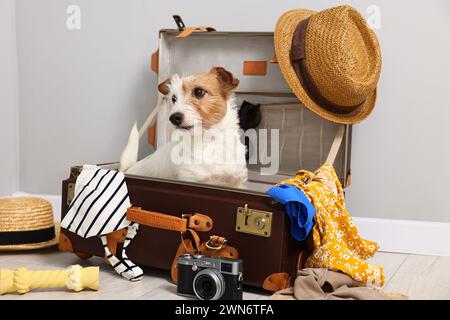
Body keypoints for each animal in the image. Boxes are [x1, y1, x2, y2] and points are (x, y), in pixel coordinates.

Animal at [118, 67, 248, 188]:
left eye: (199, 92)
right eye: (173, 99)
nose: (173, 118)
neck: (210, 141)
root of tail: (126, 170)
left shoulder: (238, 183)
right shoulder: (189, 180)